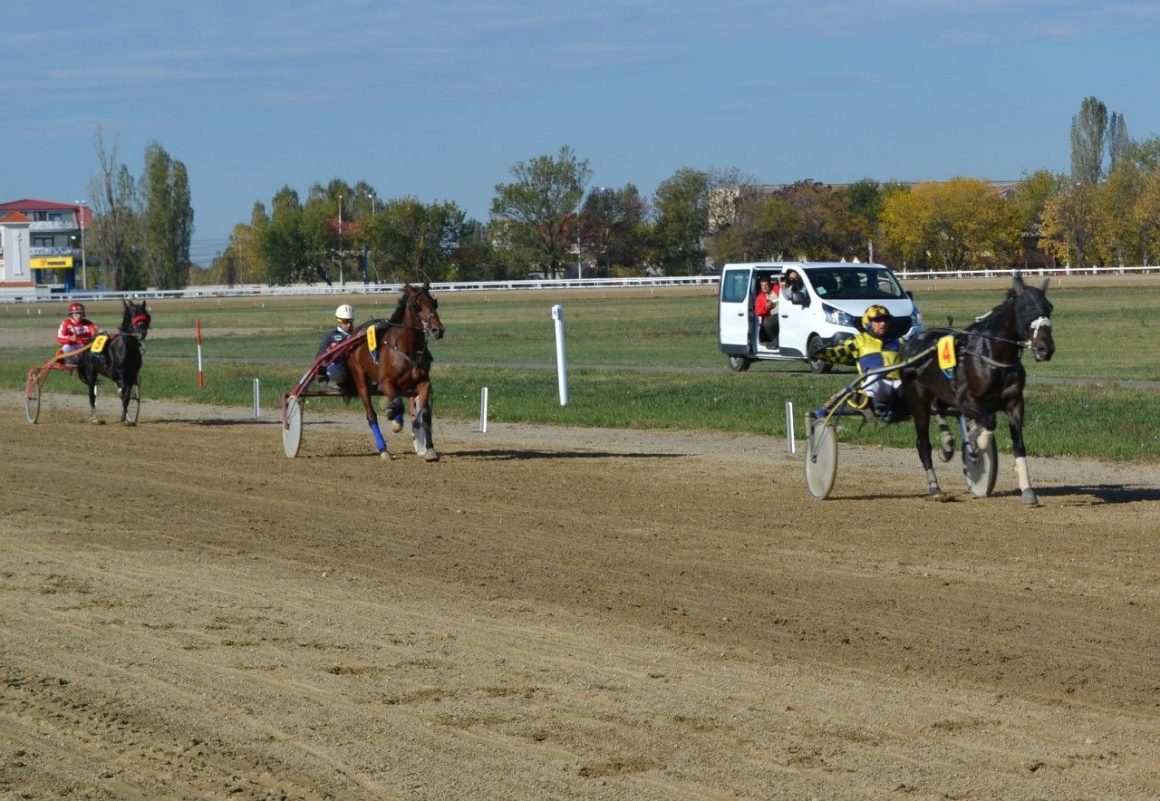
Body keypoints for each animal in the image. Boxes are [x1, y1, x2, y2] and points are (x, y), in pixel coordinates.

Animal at [343, 284, 443, 461]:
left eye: (434, 303)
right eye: (417, 306)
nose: (437, 330)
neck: (407, 349)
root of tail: (355, 334)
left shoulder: (423, 383)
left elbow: (423, 414)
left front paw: (430, 449)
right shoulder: (385, 382)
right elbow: (397, 404)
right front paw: (394, 420)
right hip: (360, 379)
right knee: (371, 414)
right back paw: (384, 449)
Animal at [900, 272, 1057, 505]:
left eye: (1049, 307)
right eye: (1026, 308)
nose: (1046, 349)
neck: (991, 355)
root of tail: (910, 343)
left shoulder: (1014, 403)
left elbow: (1018, 444)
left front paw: (1028, 490)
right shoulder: (967, 400)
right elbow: (989, 423)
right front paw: (978, 445)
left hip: (939, 393)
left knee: (939, 409)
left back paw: (947, 445)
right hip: (918, 400)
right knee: (923, 444)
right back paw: (935, 487)